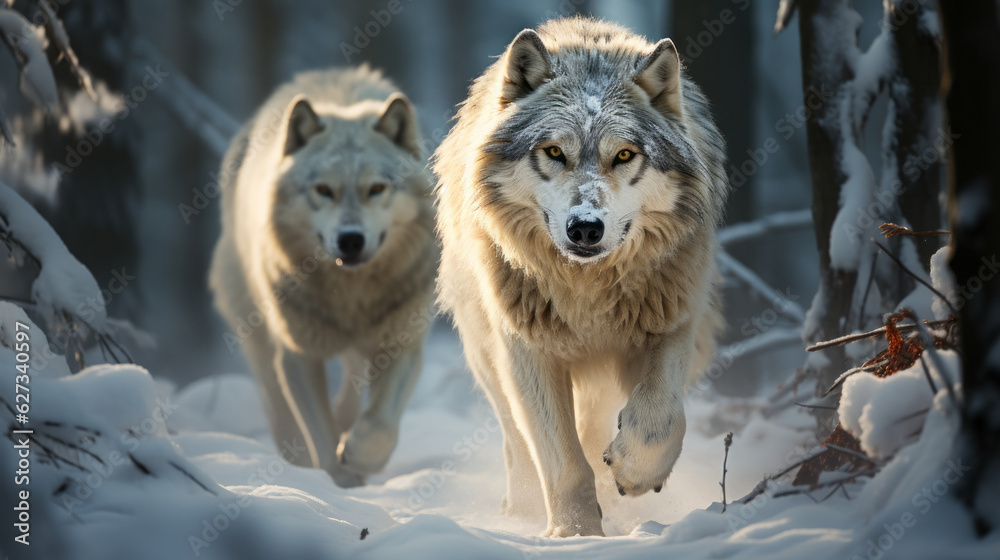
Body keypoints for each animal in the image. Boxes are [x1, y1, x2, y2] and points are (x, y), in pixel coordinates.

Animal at [209, 66, 436, 487]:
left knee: (351, 384)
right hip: (258, 336)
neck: (350, 295)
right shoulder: (298, 355)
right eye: (324, 190)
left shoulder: (402, 345)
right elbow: (320, 435)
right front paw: (338, 482)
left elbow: (380, 424)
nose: (350, 240)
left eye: (377, 188)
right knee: (278, 407)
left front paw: (360, 457)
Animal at [433, 18, 728, 536]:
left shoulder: (672, 324)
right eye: (554, 151)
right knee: (517, 441)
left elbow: (660, 419)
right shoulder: (527, 352)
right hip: (488, 355)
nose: (586, 227)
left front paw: (633, 472)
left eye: (625, 155)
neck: (587, 290)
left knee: (595, 426)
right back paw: (523, 507)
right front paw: (575, 534)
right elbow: (562, 461)